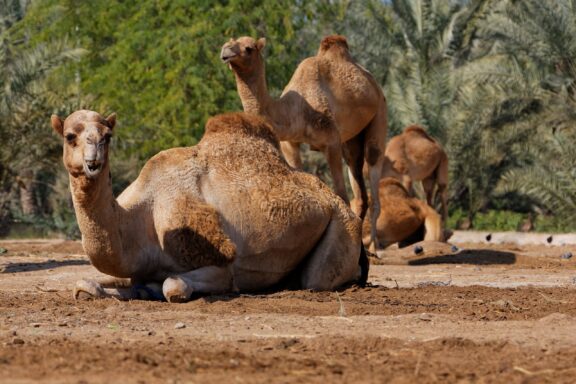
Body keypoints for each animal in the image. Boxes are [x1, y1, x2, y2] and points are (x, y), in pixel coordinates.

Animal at [51, 109, 366, 302]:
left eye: (107, 136)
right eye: (70, 136)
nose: (93, 161)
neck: (140, 219)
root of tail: (333, 197)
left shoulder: (221, 267)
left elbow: (174, 285)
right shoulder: (138, 269)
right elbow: (87, 284)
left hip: (342, 224)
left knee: (317, 278)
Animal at [220, 34, 388, 248]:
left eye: (249, 48)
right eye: (229, 41)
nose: (226, 52)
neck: (295, 110)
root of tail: (372, 81)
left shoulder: (331, 140)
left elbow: (341, 195)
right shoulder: (290, 143)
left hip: (379, 113)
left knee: (374, 171)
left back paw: (374, 248)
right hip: (351, 139)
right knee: (357, 181)